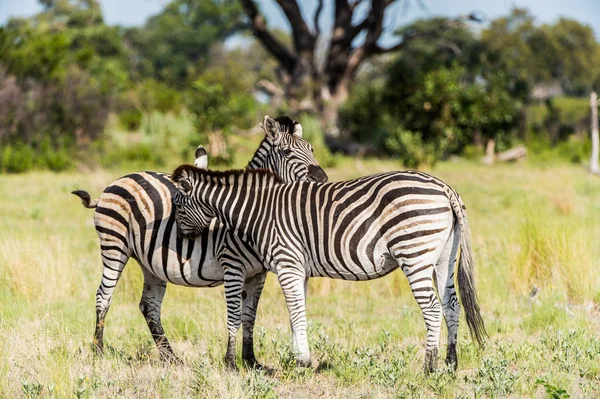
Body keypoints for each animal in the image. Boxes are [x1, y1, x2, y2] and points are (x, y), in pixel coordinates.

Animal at [72, 115, 330, 368]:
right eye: (287, 152)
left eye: (312, 148)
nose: (322, 179)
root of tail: (119, 180)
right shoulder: (232, 266)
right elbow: (235, 315)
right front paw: (231, 363)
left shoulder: (258, 274)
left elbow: (249, 316)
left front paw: (251, 361)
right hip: (114, 246)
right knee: (104, 296)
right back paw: (98, 351)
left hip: (149, 263)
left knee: (149, 305)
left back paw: (170, 357)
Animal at [170, 164, 488, 374]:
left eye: (178, 205)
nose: (182, 239)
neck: (258, 211)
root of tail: (444, 188)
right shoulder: (299, 270)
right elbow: (297, 314)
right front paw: (299, 360)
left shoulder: (287, 263)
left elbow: (295, 313)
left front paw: (302, 361)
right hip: (443, 256)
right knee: (451, 304)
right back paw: (451, 363)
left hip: (414, 252)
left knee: (432, 307)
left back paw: (428, 367)